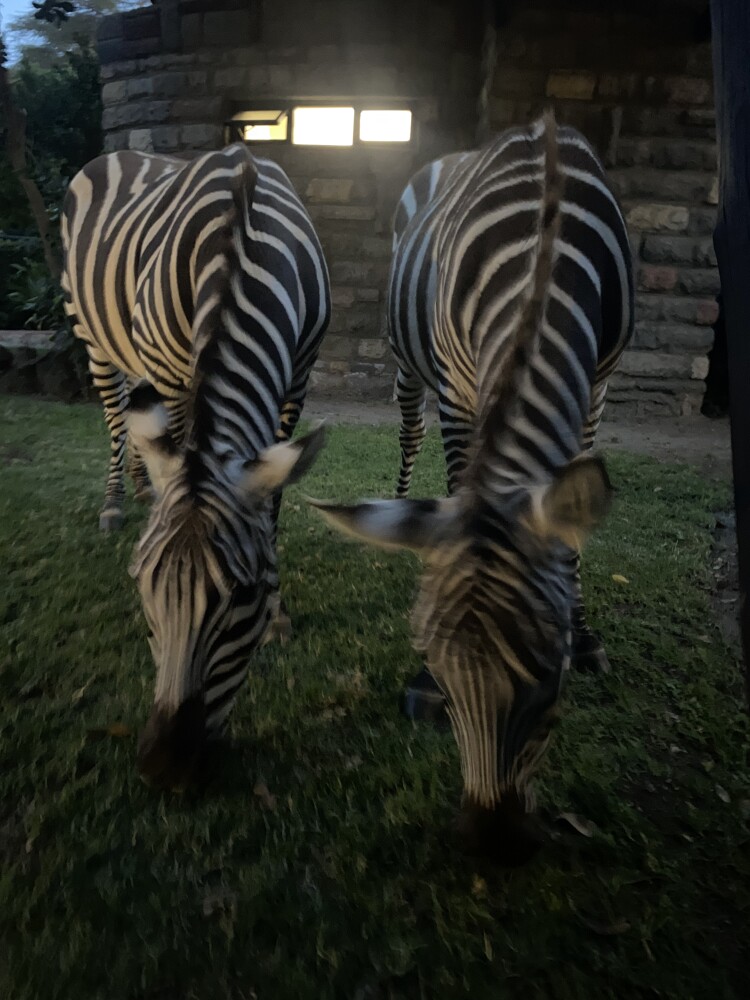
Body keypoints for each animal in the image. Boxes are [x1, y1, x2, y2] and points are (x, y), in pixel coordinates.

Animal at [62, 144, 331, 789]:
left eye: (244, 594)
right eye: (140, 585)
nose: (163, 766)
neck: (241, 238)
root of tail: (116, 152)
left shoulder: (297, 379)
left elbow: (271, 502)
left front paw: (279, 612)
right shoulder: (170, 369)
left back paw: (142, 490)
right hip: (94, 335)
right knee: (116, 419)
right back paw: (115, 503)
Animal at [311, 114, 633, 863]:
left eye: (552, 682)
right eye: (437, 667)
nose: (490, 843)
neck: (546, 241)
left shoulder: (597, 384)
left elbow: (572, 531)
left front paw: (586, 630)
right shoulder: (458, 385)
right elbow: (459, 483)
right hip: (407, 360)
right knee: (409, 438)